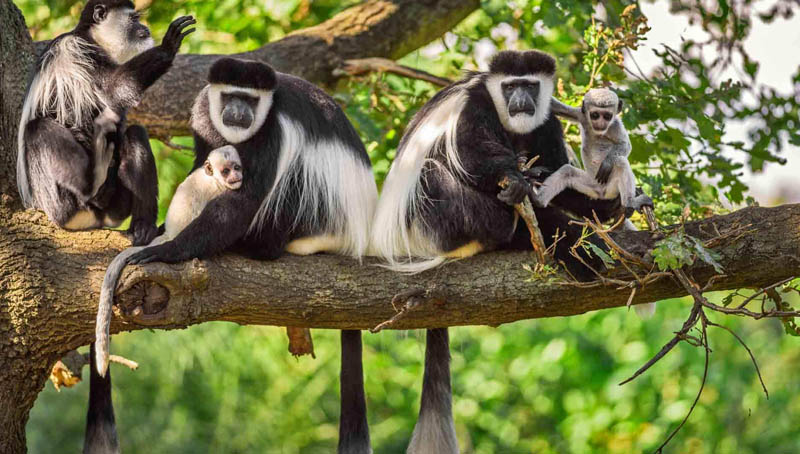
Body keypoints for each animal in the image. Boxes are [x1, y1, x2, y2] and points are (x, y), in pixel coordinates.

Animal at [17, 0, 195, 247]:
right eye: (134, 18)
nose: (145, 28)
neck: (92, 38)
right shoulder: (78, 50)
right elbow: (113, 88)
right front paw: (168, 45)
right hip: (54, 198)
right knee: (39, 129)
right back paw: (89, 192)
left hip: (117, 205)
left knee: (135, 134)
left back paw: (142, 227)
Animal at [532, 88, 648, 231]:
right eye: (595, 115)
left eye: (607, 116)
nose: (601, 123)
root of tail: (602, 193)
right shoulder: (581, 115)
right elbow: (555, 106)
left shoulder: (615, 125)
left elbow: (625, 145)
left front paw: (607, 163)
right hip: (591, 186)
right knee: (567, 171)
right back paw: (538, 199)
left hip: (611, 187)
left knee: (620, 162)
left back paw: (629, 202)